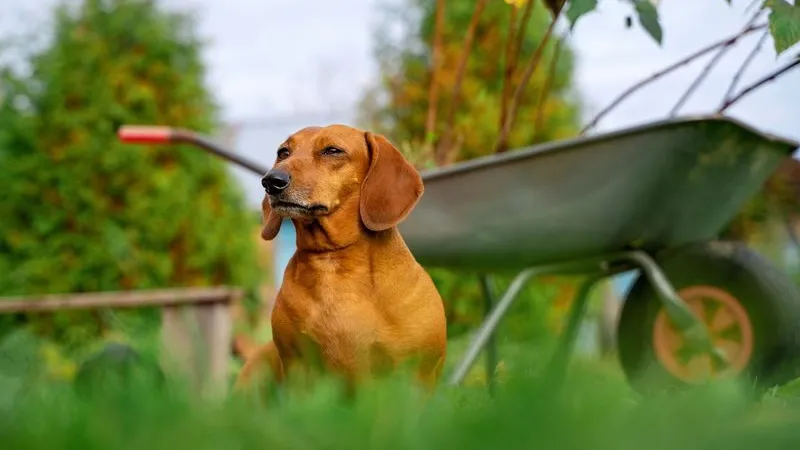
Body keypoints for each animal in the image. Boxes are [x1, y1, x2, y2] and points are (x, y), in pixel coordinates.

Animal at [236, 124, 450, 398]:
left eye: (333, 150)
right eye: (283, 152)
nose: (271, 181)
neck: (333, 261)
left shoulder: (415, 376)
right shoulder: (297, 365)